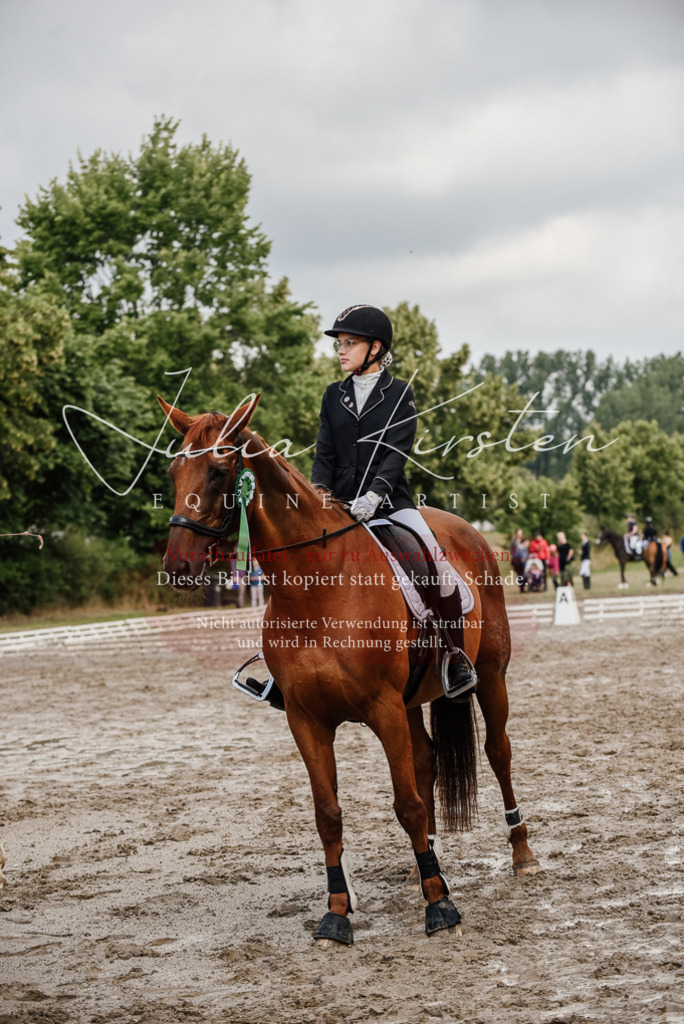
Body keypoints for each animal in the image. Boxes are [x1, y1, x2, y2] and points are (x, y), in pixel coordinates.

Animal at [159, 394, 540, 946]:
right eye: (173, 471)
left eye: (218, 470)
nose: (178, 567)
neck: (317, 587)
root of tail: (466, 530)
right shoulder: (307, 719)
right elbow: (329, 814)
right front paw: (337, 913)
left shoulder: (382, 708)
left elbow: (407, 803)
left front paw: (440, 907)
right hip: (412, 700)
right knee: (426, 760)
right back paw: (425, 861)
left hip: (489, 676)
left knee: (498, 752)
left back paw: (522, 854)